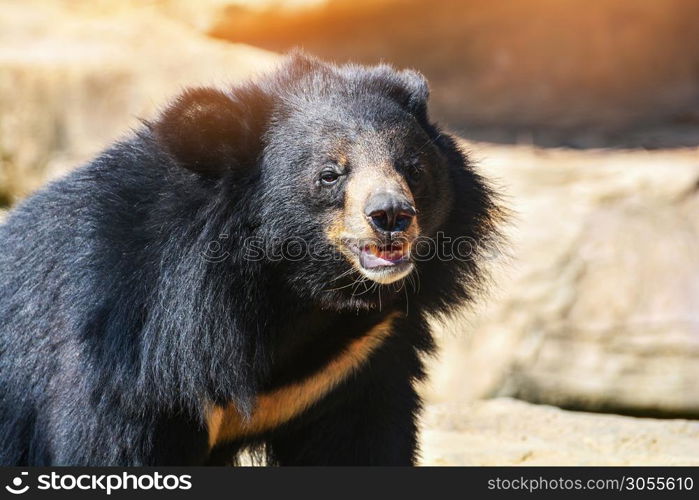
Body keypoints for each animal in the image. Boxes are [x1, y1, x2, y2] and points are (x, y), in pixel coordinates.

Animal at [0, 53, 500, 464]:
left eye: (412, 168)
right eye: (329, 174)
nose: (391, 215)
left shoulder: (355, 360)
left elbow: (363, 443)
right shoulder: (129, 356)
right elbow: (109, 447)